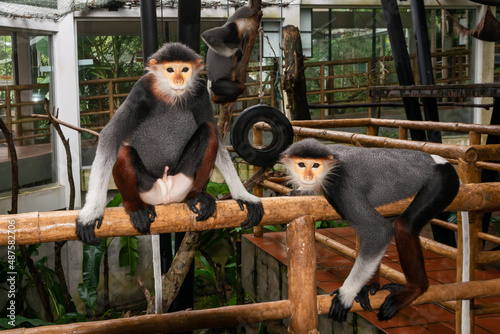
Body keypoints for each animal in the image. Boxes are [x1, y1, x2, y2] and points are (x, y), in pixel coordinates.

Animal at [76, 42, 264, 245]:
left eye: (185, 69)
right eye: (170, 69)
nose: (179, 81)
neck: (170, 95)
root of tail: (166, 194)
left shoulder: (200, 91)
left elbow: (218, 138)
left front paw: (243, 195)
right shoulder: (140, 89)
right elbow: (110, 135)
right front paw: (91, 212)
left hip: (184, 179)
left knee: (209, 130)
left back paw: (196, 196)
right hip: (147, 189)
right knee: (123, 151)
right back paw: (134, 207)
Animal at [280, 138, 458, 320]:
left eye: (315, 165)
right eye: (301, 164)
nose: (307, 177)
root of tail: (438, 160)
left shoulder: (340, 186)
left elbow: (380, 231)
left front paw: (346, 294)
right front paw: (298, 193)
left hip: (442, 181)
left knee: (403, 226)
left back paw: (416, 289)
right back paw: (371, 286)